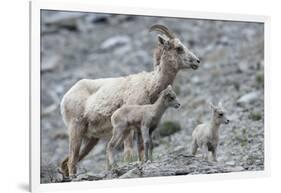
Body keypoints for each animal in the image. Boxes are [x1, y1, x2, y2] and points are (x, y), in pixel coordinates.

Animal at [59, 24, 199, 178]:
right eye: (179, 48)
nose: (197, 61)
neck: (148, 86)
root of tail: (66, 98)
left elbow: (141, 149)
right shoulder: (131, 128)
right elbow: (129, 152)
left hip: (91, 138)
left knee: (68, 161)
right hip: (76, 130)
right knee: (72, 160)